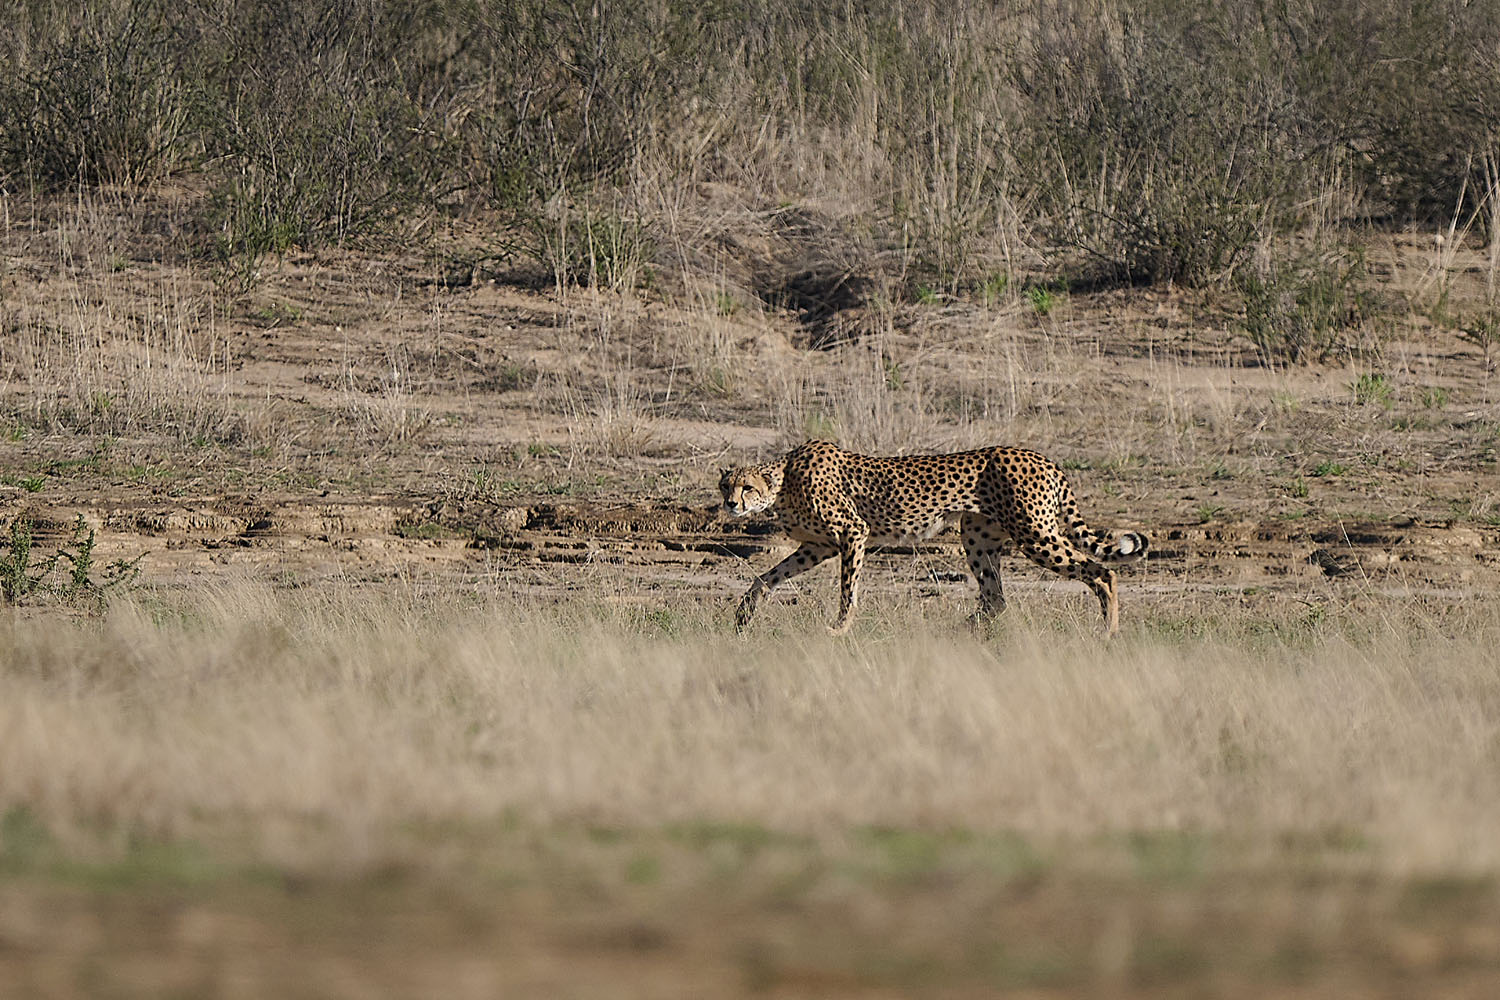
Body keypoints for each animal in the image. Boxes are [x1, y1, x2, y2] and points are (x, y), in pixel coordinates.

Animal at [719, 440, 1148, 636]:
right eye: (725, 486)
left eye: (746, 487)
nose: (730, 504)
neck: (783, 482)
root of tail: (1041, 456)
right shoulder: (817, 546)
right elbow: (764, 579)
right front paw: (742, 617)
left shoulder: (853, 532)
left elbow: (848, 589)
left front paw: (840, 629)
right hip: (977, 537)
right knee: (996, 598)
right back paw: (955, 633)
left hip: (1034, 534)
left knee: (1102, 573)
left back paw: (1107, 633)